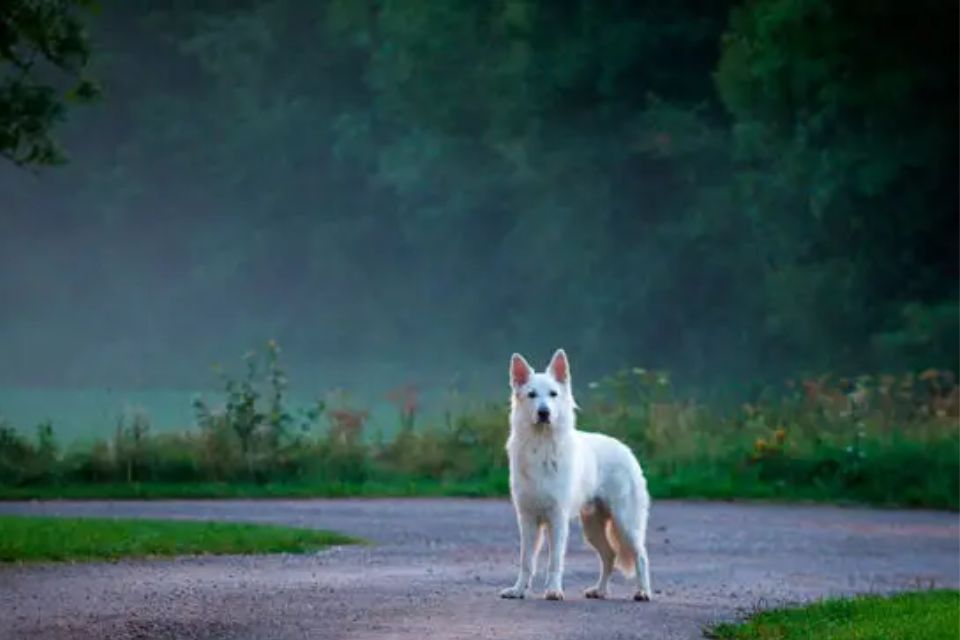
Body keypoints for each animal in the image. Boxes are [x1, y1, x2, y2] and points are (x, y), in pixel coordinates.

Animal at [498, 348, 648, 604]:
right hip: (592, 527)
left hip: (625, 522)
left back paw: (643, 592)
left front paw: (553, 590)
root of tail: (626, 449)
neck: (542, 446)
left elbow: (555, 561)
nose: (544, 412)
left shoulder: (557, 519)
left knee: (641, 555)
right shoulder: (527, 520)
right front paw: (518, 590)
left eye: (553, 394)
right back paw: (599, 590)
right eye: (531, 395)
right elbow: (526, 561)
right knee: (610, 555)